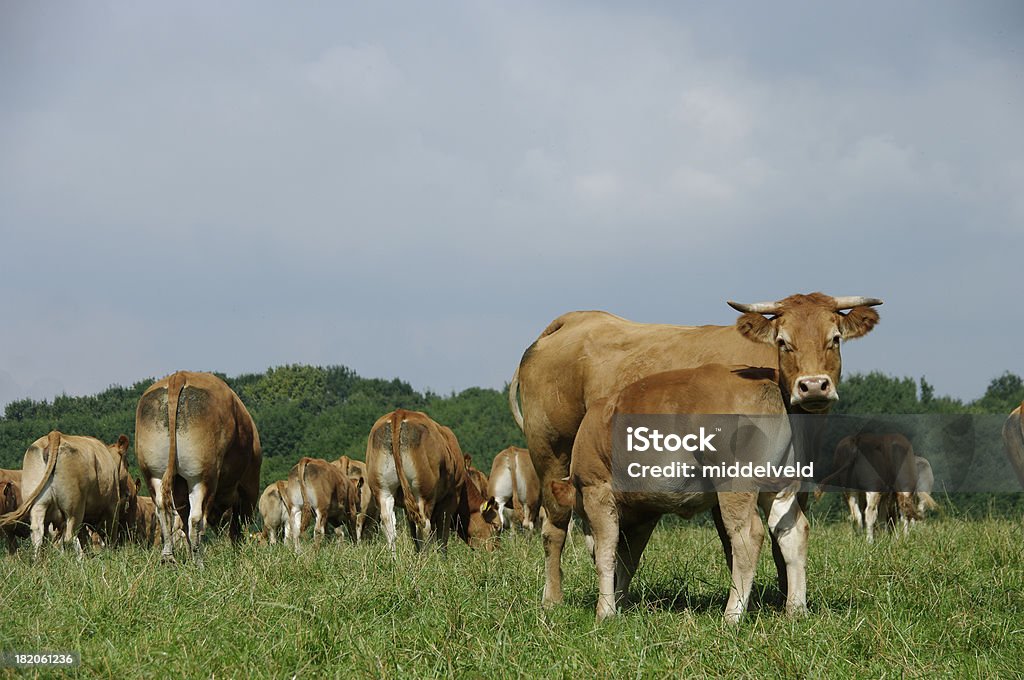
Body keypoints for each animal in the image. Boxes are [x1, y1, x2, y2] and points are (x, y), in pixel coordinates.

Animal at [0, 430, 136, 557]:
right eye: (128, 464)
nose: (128, 491)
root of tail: (55, 434)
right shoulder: (112, 507)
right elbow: (110, 536)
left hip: (38, 504)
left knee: (38, 533)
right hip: (75, 508)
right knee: (70, 537)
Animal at [136, 372, 262, 561]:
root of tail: (179, 376)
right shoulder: (248, 487)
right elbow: (237, 527)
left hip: (154, 474)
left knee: (164, 511)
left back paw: (168, 558)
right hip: (202, 478)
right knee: (196, 519)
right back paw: (199, 562)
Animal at [368, 409, 499, 553]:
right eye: (496, 526)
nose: (495, 550)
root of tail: (399, 413)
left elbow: (414, 534)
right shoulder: (450, 499)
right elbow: (442, 537)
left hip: (383, 491)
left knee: (389, 526)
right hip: (424, 494)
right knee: (424, 526)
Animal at [512, 292, 880, 606]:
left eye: (835, 338)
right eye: (783, 341)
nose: (814, 386)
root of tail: (574, 321)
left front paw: (783, 598)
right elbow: (735, 544)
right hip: (551, 454)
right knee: (555, 529)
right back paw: (553, 599)